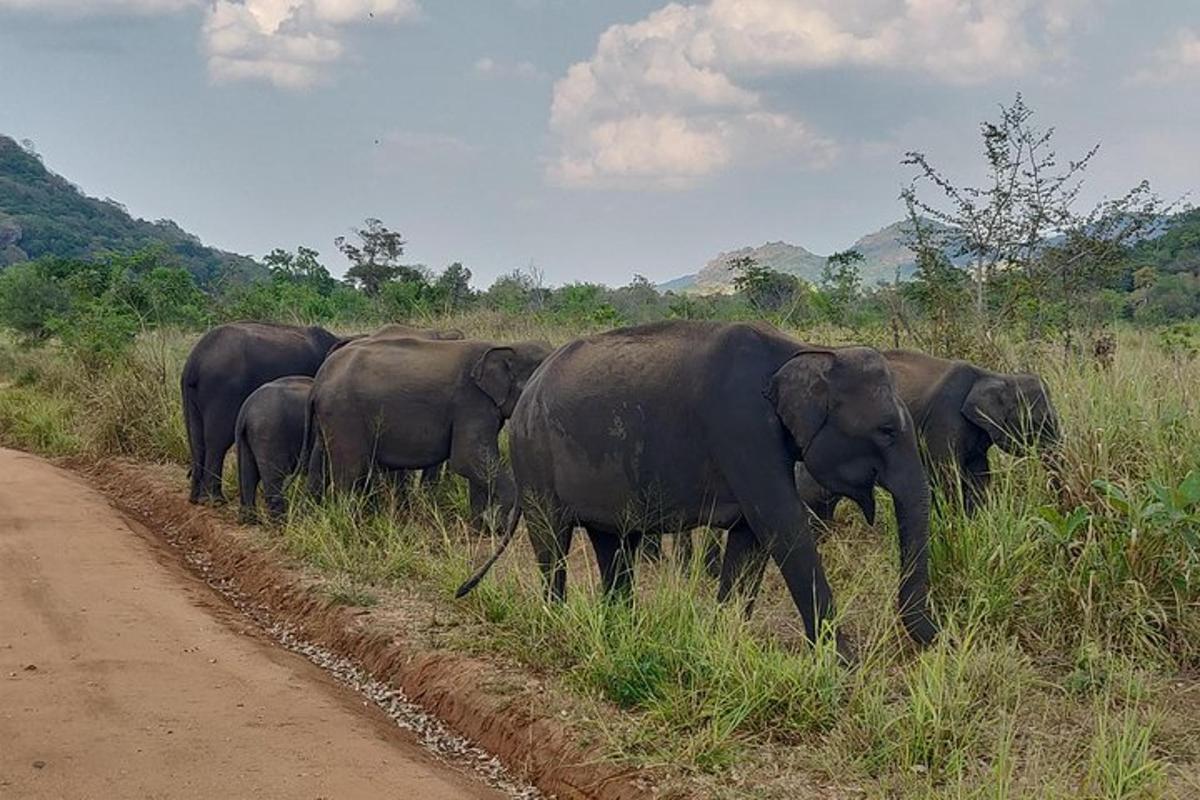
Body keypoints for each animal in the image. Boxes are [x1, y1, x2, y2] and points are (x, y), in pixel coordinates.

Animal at [181, 321, 343, 503]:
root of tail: (194, 362)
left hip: (194, 394)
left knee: (197, 438)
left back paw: (196, 498)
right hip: (223, 389)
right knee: (217, 441)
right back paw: (215, 500)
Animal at [234, 376, 314, 525]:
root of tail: (245, 411)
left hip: (246, 437)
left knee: (248, 475)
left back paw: (250, 520)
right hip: (270, 432)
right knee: (274, 478)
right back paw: (280, 524)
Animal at [307, 335, 554, 527]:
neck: (506, 346)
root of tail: (319, 379)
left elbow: (477, 464)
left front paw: (482, 528)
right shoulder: (471, 402)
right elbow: (467, 459)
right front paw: (498, 527)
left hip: (329, 418)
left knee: (320, 462)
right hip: (344, 413)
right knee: (350, 470)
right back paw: (350, 524)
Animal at [453, 321, 940, 652]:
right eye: (886, 431)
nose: (936, 639)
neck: (804, 351)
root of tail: (529, 391)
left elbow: (750, 539)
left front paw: (724, 639)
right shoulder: (742, 428)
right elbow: (782, 526)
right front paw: (842, 665)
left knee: (614, 543)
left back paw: (621, 629)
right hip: (534, 456)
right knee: (552, 542)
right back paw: (558, 620)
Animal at [796, 350, 1060, 520]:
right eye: (1040, 422)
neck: (994, 375)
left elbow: (979, 476)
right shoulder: (944, 419)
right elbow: (946, 474)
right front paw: (954, 524)